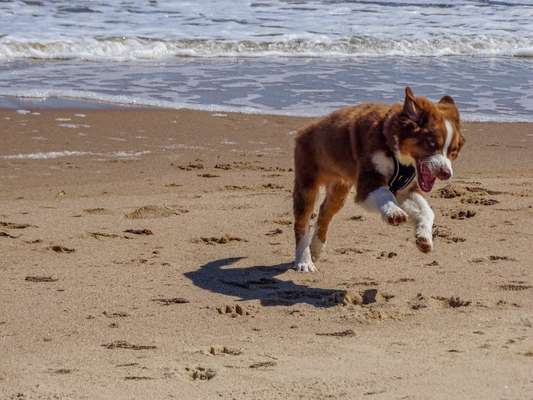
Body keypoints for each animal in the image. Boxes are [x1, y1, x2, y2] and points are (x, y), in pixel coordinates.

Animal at [294, 87, 464, 272]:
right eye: (431, 144)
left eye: (453, 151)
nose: (446, 173)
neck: (395, 151)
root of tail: (305, 129)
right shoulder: (368, 181)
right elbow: (384, 193)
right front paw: (394, 213)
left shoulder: (404, 189)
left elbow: (426, 210)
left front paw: (424, 237)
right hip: (307, 184)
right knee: (302, 223)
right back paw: (304, 261)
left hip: (339, 188)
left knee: (324, 213)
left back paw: (316, 249)